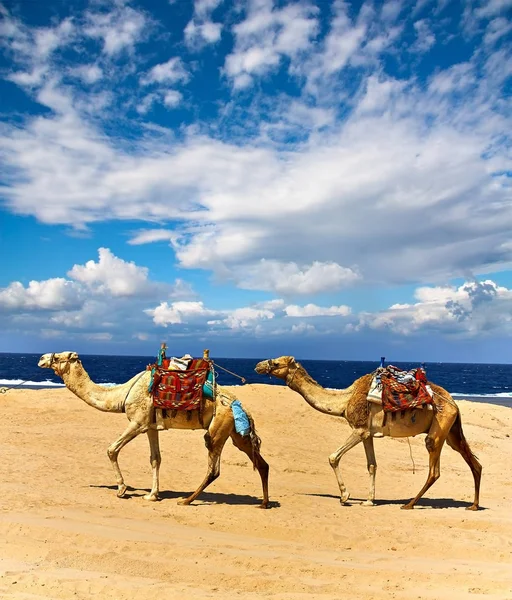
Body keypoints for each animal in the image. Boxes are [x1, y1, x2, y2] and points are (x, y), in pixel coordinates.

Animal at [38, 352, 270, 506]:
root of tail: (240, 405)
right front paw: (152, 495)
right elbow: (155, 458)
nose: (41, 358)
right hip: (236, 433)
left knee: (214, 468)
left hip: (218, 428)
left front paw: (122, 489)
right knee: (261, 463)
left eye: (58, 357)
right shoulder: (151, 427)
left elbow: (112, 449)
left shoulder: (137, 422)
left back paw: (186, 500)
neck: (123, 394)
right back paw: (264, 503)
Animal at [254, 356, 482, 510]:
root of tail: (453, 403)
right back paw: (473, 505)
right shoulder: (368, 434)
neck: (344, 400)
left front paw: (345, 496)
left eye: (276, 363)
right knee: (473, 462)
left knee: (434, 468)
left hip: (438, 429)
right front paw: (369, 500)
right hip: (451, 431)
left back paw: (409, 504)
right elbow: (372, 465)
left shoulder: (359, 429)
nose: (258, 365)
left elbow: (333, 457)